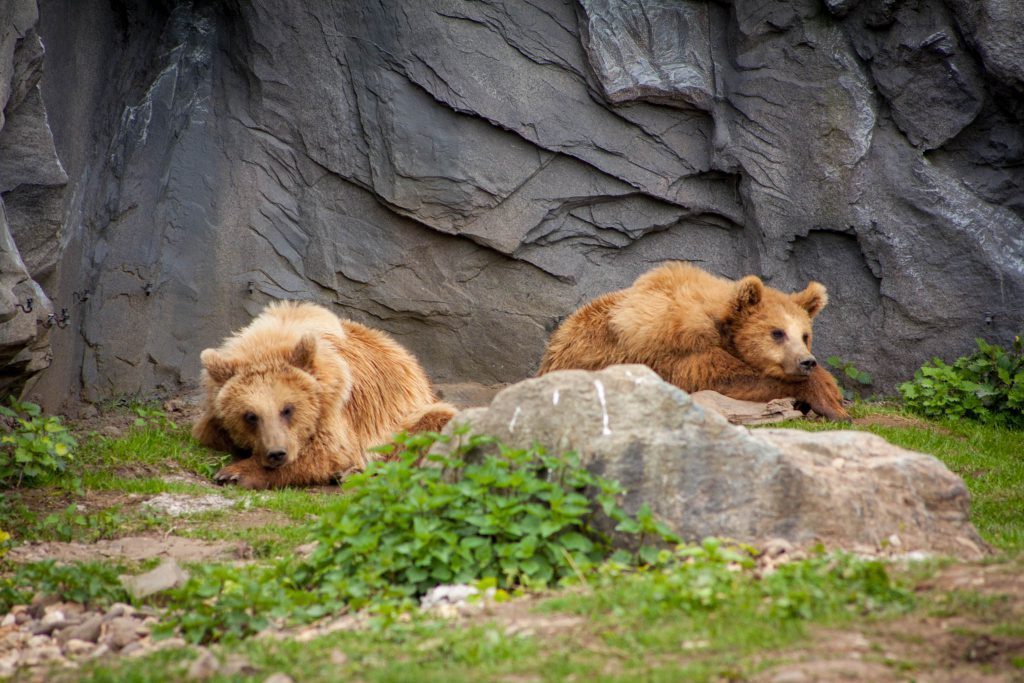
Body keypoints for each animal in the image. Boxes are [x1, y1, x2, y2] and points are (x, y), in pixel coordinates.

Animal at [193, 301, 458, 489]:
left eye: (287, 409)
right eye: (250, 416)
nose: (277, 453)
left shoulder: (336, 408)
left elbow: (327, 452)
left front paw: (234, 473)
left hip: (406, 415)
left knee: (432, 423)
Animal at [540, 262, 851, 421]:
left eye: (805, 334)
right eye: (777, 332)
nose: (807, 361)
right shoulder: (680, 347)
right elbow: (727, 377)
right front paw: (830, 402)